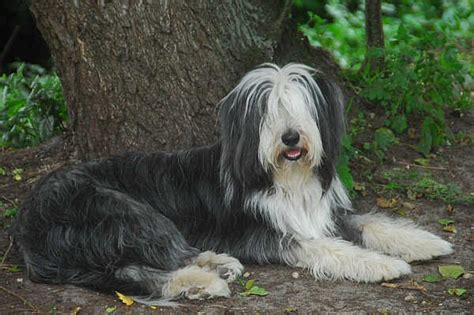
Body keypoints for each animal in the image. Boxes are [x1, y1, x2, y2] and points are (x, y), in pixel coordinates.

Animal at [12, 63, 454, 304]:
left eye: (299, 107)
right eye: (269, 112)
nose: (290, 138)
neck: (285, 179)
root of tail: (26, 227)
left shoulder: (321, 211)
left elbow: (368, 222)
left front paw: (423, 242)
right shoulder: (256, 231)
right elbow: (319, 246)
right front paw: (380, 263)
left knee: (137, 265)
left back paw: (216, 265)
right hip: (124, 211)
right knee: (145, 267)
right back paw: (200, 281)